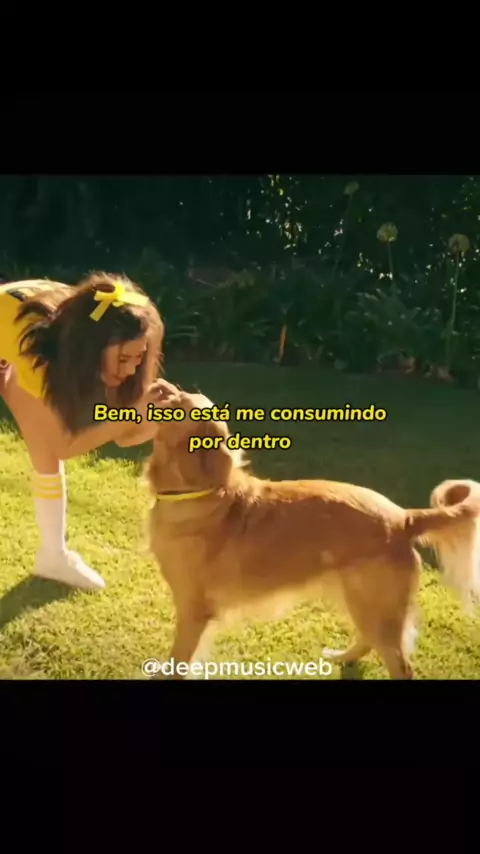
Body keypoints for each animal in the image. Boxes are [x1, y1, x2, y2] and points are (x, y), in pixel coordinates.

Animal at [145, 391, 480, 680]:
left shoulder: (193, 609)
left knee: (401, 665)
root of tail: (404, 517)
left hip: (374, 606)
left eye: (179, 402)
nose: (161, 388)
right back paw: (342, 657)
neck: (200, 492)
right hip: (360, 599)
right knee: (367, 642)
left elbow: (178, 660)